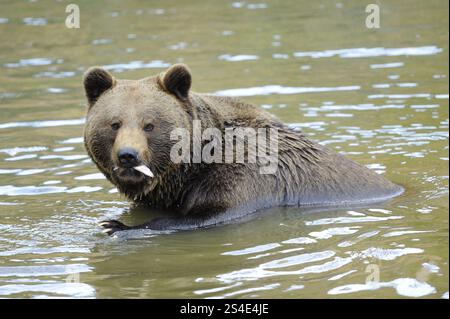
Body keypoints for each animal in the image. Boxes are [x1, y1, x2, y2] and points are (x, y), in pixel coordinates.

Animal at [82, 64, 402, 235]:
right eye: (114, 124)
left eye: (149, 124)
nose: (128, 155)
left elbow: (209, 214)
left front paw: (117, 226)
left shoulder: (244, 173)